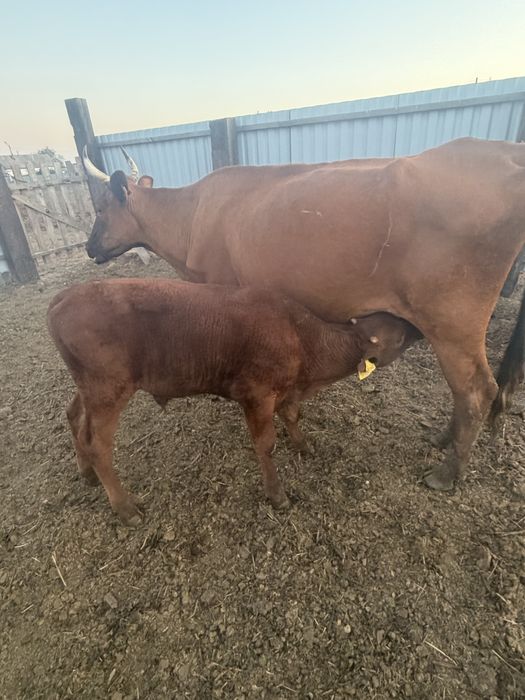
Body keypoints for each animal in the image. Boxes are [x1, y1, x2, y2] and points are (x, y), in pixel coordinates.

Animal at [47, 279, 419, 526]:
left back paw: (87, 474)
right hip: (109, 390)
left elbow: (293, 415)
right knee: (97, 444)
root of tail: (68, 295)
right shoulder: (257, 394)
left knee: (74, 418)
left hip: (89, 388)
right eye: (400, 334)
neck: (302, 337)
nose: (418, 328)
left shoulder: (287, 390)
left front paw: (302, 444)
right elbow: (266, 444)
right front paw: (277, 494)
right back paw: (125, 508)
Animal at [82, 138, 525, 493]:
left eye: (100, 207)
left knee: (476, 390)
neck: (192, 218)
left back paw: (447, 474)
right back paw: (441, 439)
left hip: (454, 321)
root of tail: (502, 152)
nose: (88, 247)